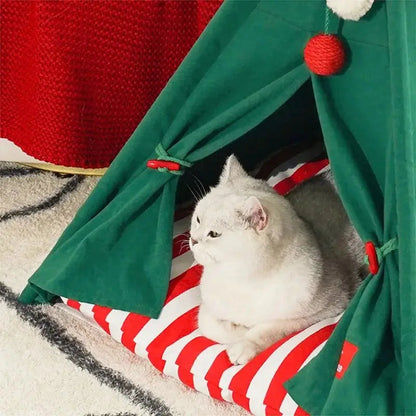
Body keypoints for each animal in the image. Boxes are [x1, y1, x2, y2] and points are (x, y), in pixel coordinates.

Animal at [189, 155, 364, 364]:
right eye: (198, 219)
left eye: (214, 234)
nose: (192, 239)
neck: (241, 279)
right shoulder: (207, 308)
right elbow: (210, 326)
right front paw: (238, 328)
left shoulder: (328, 306)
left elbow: (269, 328)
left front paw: (244, 345)